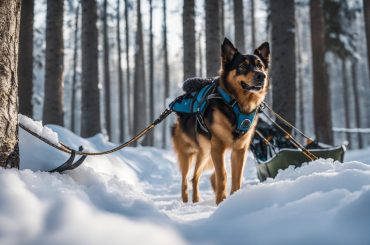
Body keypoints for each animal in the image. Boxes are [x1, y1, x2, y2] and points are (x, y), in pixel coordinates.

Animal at [172, 37, 270, 204]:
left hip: (206, 153)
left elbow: (237, 177)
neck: (237, 104)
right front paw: (221, 201)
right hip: (194, 154)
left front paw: (233, 200)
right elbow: (223, 175)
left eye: (260, 66)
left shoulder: (239, 150)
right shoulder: (218, 148)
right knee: (188, 179)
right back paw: (188, 201)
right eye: (242, 66)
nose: (261, 76)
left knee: (201, 177)